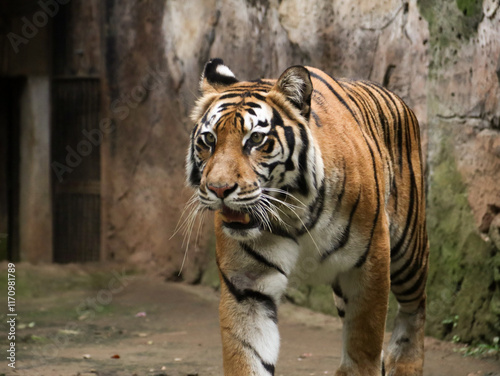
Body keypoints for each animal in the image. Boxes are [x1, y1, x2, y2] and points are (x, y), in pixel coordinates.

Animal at [186, 58, 428, 376]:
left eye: (256, 139)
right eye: (209, 139)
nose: (219, 188)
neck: (294, 209)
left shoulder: (370, 265)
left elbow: (363, 346)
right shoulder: (246, 284)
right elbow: (248, 352)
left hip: (408, 251)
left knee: (415, 308)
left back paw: (405, 363)